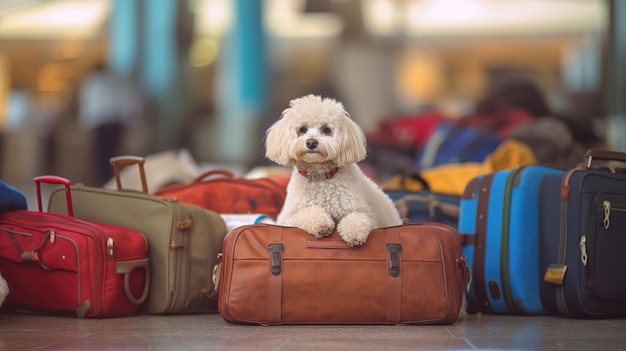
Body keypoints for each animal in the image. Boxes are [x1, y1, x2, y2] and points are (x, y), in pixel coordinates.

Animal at [262, 95, 400, 246]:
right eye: (302, 129)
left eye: (327, 130)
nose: (311, 142)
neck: (319, 177)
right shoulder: (288, 217)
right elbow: (306, 213)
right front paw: (321, 224)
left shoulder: (362, 212)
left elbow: (357, 219)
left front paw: (354, 234)